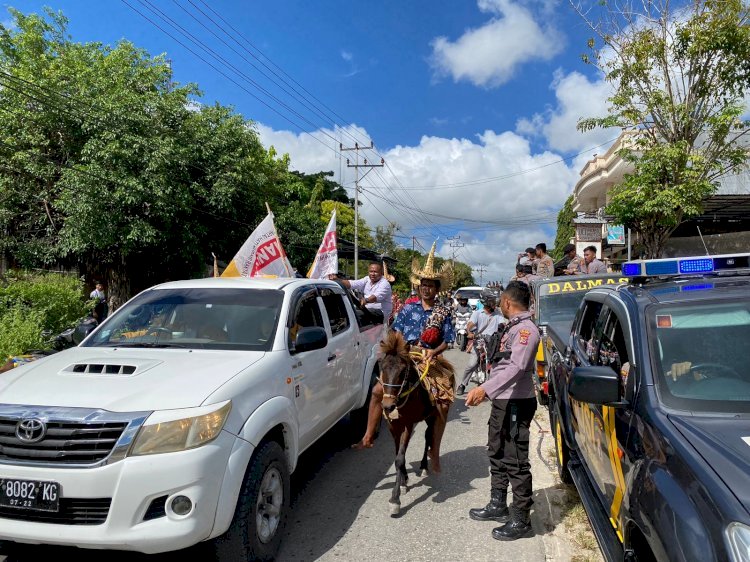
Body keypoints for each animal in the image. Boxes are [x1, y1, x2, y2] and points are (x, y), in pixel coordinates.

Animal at [382, 330, 452, 516]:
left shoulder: (408, 424)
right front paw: (404, 480)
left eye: (402, 371)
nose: (387, 406)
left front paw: (395, 499)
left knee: (429, 436)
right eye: (382, 368)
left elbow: (399, 458)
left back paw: (424, 467)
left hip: (431, 416)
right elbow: (397, 455)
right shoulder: (393, 426)